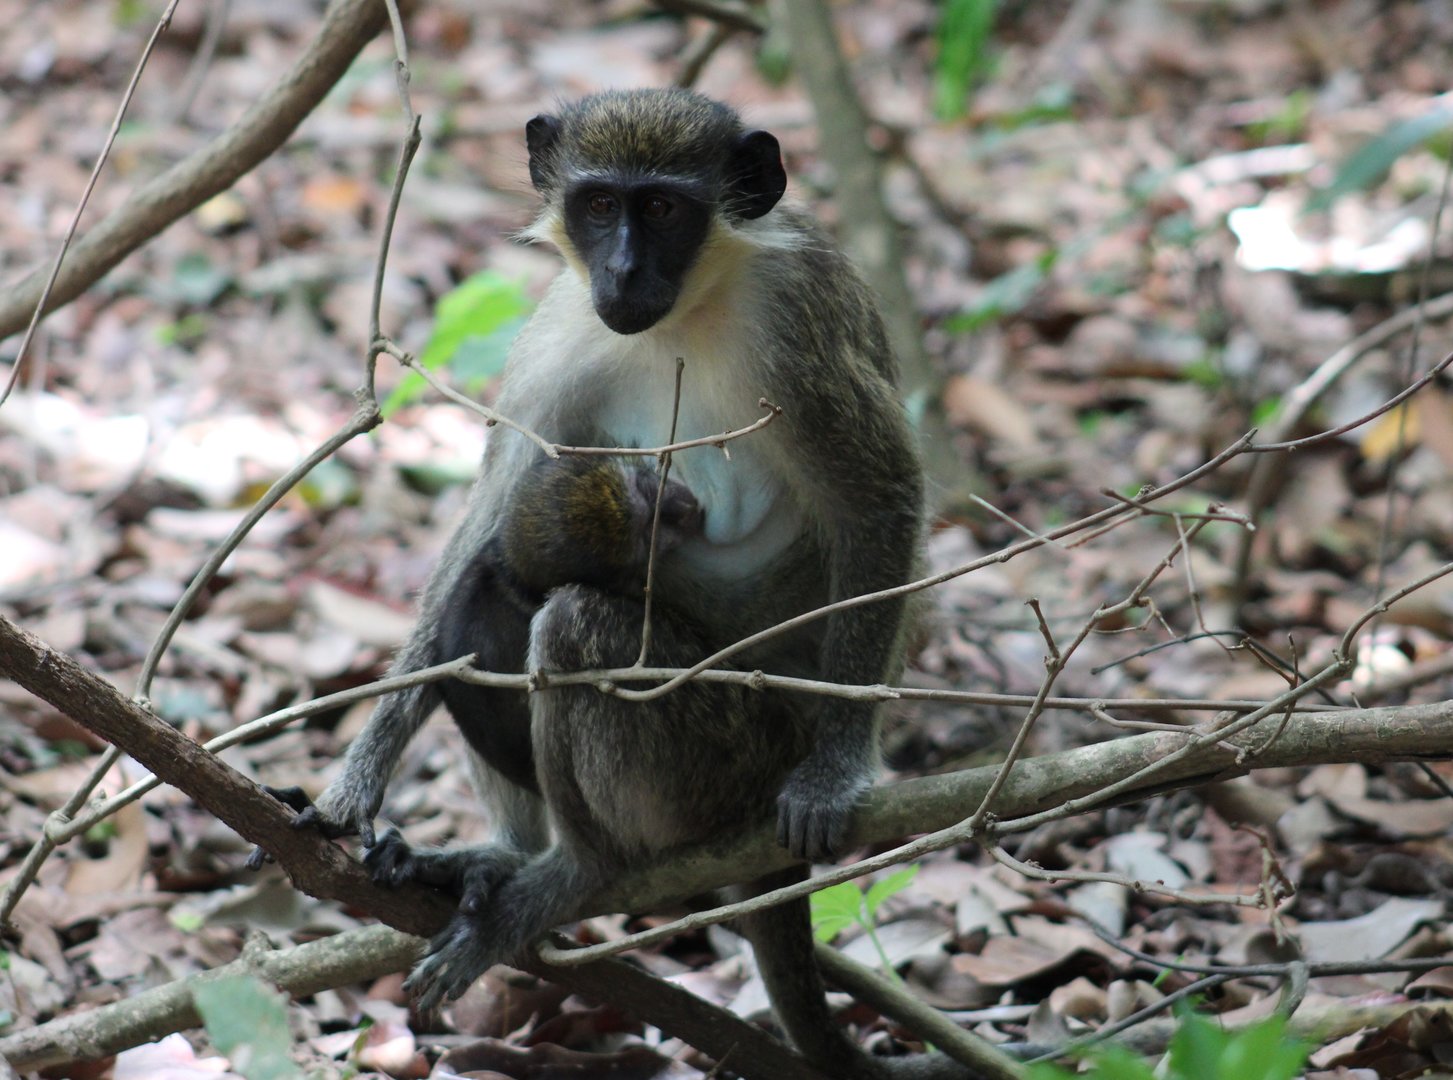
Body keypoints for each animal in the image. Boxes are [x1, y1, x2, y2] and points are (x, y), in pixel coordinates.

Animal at [262, 89, 942, 1079]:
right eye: (596, 205)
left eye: (660, 208)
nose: (620, 270)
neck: (691, 308)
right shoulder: (559, 337)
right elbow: (485, 527)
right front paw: (351, 792)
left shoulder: (799, 318)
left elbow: (879, 504)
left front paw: (837, 770)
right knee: (483, 602)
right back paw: (497, 856)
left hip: (728, 760)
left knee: (576, 623)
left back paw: (576, 870)